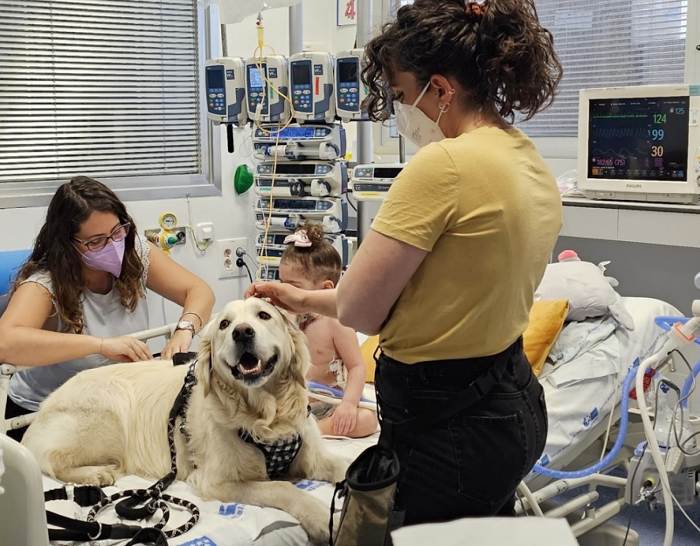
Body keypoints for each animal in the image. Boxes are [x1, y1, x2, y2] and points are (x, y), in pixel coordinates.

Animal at [21, 298, 348, 540]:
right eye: (225, 324)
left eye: (264, 315)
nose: (242, 332)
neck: (265, 416)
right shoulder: (216, 480)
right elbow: (282, 487)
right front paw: (321, 517)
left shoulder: (312, 455)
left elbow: (345, 466)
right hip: (108, 413)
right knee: (52, 458)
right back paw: (96, 473)